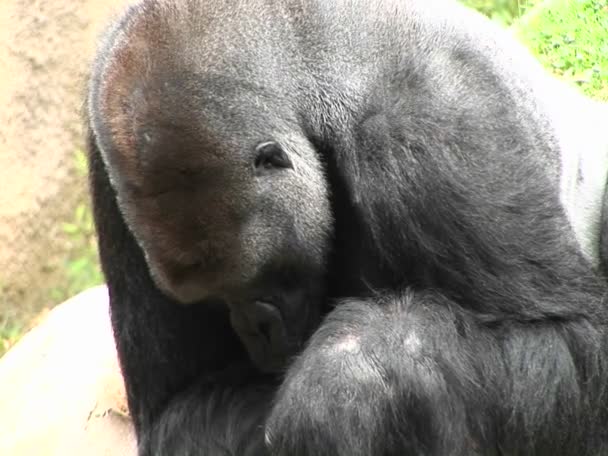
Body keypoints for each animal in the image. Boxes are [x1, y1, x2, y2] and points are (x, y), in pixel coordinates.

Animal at [85, 0, 608, 454]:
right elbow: (177, 409)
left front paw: (353, 377)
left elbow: (572, 338)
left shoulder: (433, 126)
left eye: (256, 279)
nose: (256, 332)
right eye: (212, 301)